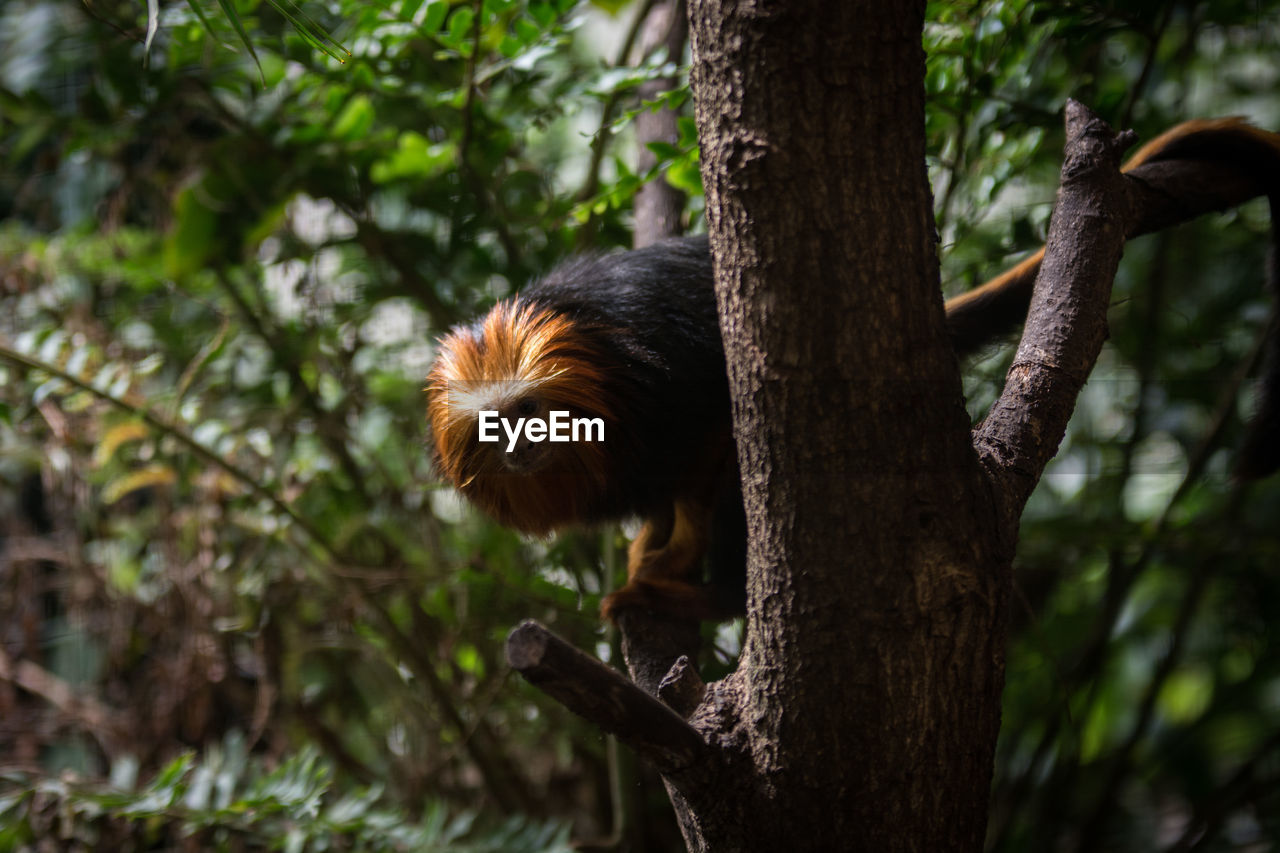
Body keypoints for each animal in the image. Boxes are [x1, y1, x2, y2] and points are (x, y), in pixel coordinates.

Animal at [424, 117, 1280, 617]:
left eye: (532, 413)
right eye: (497, 426)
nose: (522, 448)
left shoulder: (663, 392)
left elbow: (712, 450)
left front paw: (674, 565)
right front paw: (651, 546)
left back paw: (712, 598)